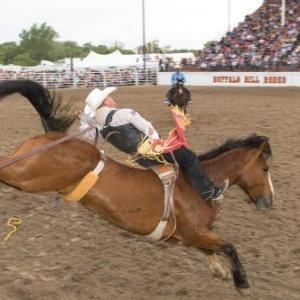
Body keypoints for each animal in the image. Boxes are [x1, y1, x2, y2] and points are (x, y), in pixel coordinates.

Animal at [0, 79, 274, 288]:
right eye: (265, 169)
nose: (269, 201)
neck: (197, 184)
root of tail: (54, 138)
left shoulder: (193, 235)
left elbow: (212, 250)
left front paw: (221, 271)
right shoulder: (194, 232)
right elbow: (228, 246)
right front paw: (241, 280)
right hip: (25, 174)